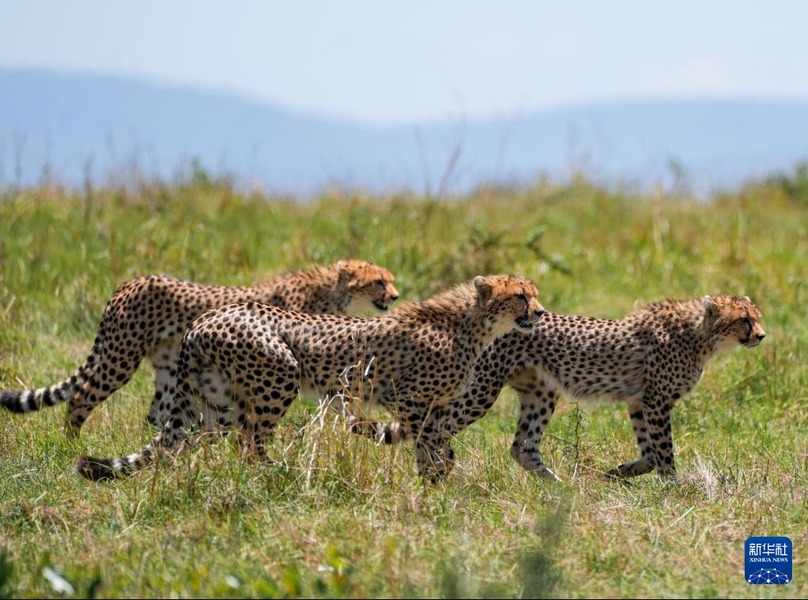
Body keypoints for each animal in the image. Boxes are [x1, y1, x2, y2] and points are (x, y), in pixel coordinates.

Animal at [1, 258, 400, 436]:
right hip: (120, 357)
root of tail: (130, 282)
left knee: (157, 414)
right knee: (82, 397)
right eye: (380, 281)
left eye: (390, 280)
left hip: (168, 367)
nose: (396, 296)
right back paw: (71, 442)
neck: (333, 292)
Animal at [77, 274, 544, 480]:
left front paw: (437, 480)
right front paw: (435, 480)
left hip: (216, 403)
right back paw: (278, 473)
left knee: (193, 439)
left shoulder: (433, 404)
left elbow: (438, 441)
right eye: (520, 295)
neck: (471, 325)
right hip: (279, 376)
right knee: (252, 442)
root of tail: (208, 317)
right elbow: (431, 442)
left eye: (534, 294)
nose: (540, 312)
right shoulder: (408, 398)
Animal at [356, 292, 764, 480]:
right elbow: (663, 452)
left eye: (757, 317)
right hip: (483, 389)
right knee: (434, 427)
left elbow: (649, 451)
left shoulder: (639, 401)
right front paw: (674, 488)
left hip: (541, 391)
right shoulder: (656, 401)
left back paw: (556, 484)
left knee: (522, 446)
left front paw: (618, 473)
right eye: (744, 319)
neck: (700, 334)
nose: (761, 335)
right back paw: (438, 471)